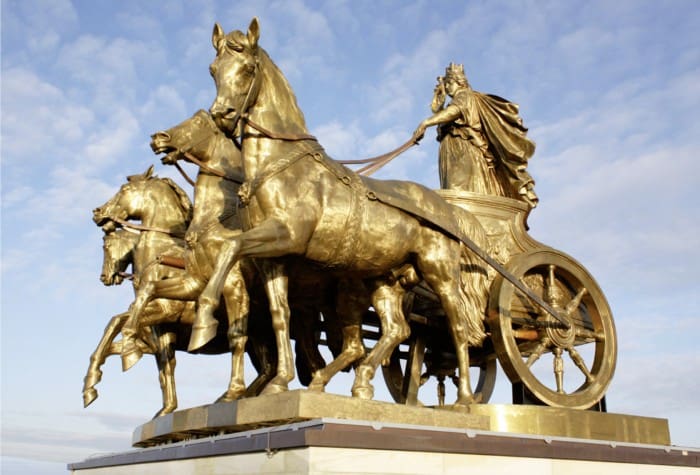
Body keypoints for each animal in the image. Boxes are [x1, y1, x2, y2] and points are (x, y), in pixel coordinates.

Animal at [196, 18, 486, 406]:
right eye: (213, 69)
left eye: (247, 68)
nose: (222, 117)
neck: (278, 167)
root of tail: (448, 210)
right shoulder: (273, 257)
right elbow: (279, 315)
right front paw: (281, 380)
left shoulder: (286, 236)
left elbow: (230, 247)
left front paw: (203, 322)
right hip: (384, 280)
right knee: (396, 329)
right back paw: (356, 382)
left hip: (439, 273)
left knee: (456, 326)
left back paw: (465, 397)